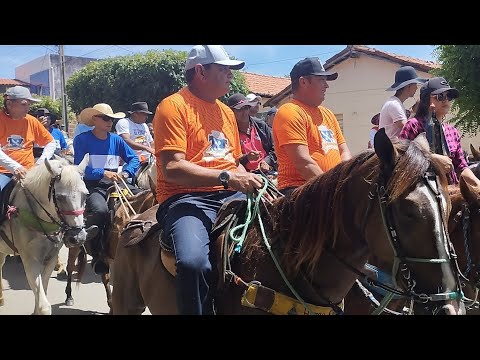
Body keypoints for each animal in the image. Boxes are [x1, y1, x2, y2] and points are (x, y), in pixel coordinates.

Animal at [0, 156, 96, 314]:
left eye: (85, 194)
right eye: (60, 197)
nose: (78, 237)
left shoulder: (50, 259)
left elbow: (42, 292)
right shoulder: (30, 260)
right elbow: (44, 305)